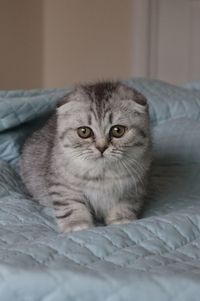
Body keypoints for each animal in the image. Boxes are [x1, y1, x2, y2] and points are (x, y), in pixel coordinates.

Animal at [20, 81, 152, 232]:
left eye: (118, 130)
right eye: (84, 132)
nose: (101, 148)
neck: (103, 175)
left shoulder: (134, 188)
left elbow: (124, 206)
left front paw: (121, 220)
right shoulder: (64, 186)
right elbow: (72, 206)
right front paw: (77, 225)